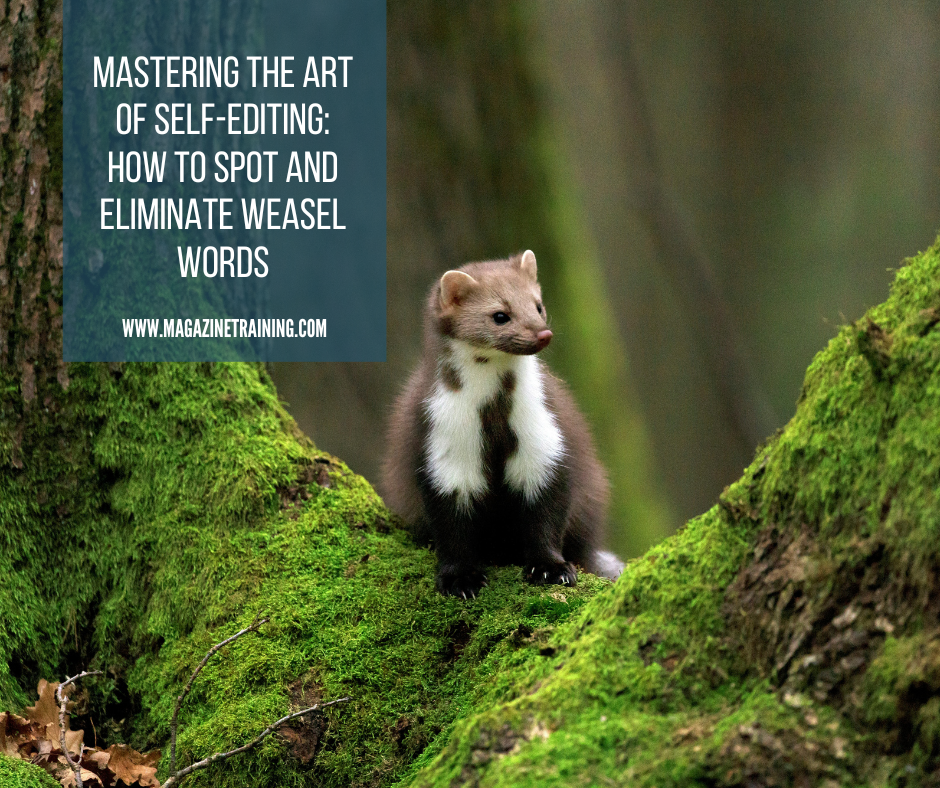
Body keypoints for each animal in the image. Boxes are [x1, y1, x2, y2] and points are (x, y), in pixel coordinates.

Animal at [382, 249, 624, 596]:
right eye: (500, 315)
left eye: (538, 305)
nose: (543, 333)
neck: (494, 414)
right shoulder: (442, 442)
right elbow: (450, 528)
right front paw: (460, 579)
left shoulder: (545, 436)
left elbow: (547, 514)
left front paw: (552, 569)